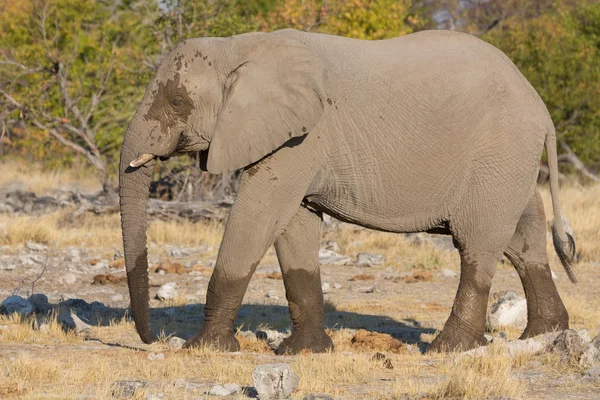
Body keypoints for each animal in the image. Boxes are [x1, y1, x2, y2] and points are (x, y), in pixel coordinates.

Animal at [118, 28, 576, 354]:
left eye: (177, 102)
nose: (152, 340)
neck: (239, 46)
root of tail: (541, 108)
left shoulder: (302, 139)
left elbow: (258, 214)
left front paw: (205, 349)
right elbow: (293, 224)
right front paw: (305, 353)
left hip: (498, 154)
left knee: (476, 245)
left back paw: (448, 350)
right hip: (508, 163)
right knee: (524, 237)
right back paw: (543, 336)